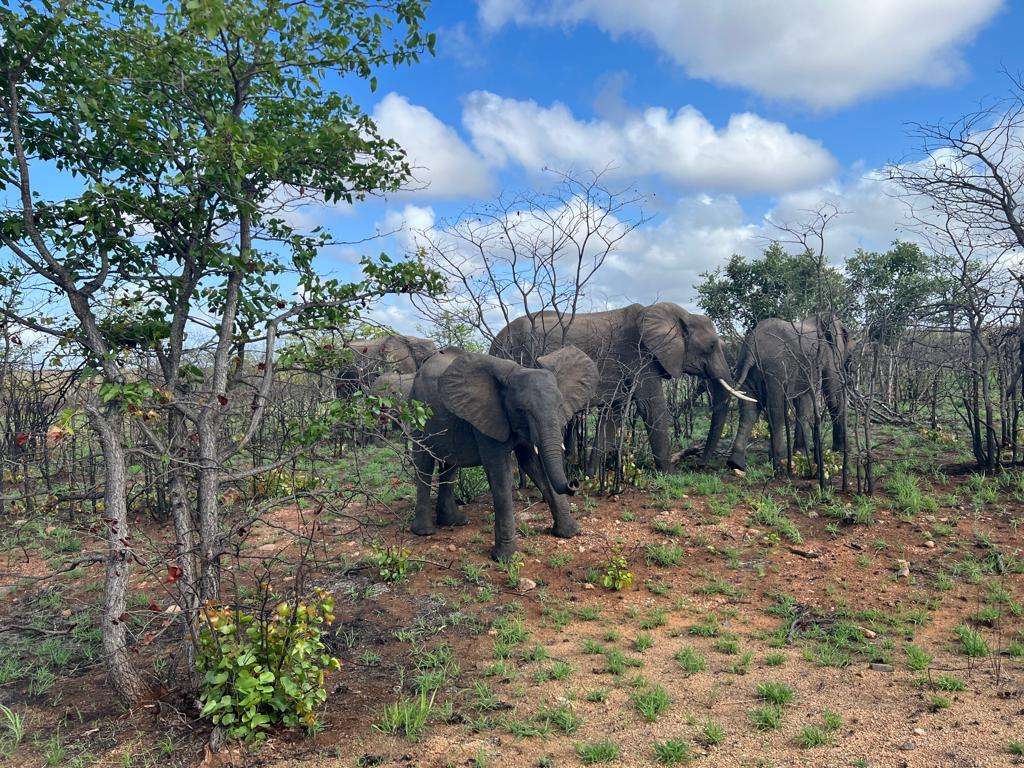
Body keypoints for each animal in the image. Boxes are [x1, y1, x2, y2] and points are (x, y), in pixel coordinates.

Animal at [407, 348, 598, 561]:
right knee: (424, 463)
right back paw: (424, 532)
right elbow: (500, 472)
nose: (574, 483)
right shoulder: (487, 417)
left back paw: (454, 521)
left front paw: (569, 533)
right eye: (521, 410)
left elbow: (533, 463)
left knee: (450, 464)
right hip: (417, 410)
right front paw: (504, 557)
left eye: (560, 407)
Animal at [491, 303, 757, 473]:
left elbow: (613, 414)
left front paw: (591, 475)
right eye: (711, 346)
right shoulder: (640, 356)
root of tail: (494, 343)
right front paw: (671, 474)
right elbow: (651, 407)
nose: (700, 465)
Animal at [729, 313, 856, 473]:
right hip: (775, 369)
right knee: (775, 411)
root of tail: (751, 343)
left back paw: (736, 464)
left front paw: (799, 453)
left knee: (748, 410)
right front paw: (841, 450)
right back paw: (781, 462)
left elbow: (804, 401)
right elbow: (833, 397)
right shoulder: (828, 354)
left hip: (745, 369)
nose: (851, 366)